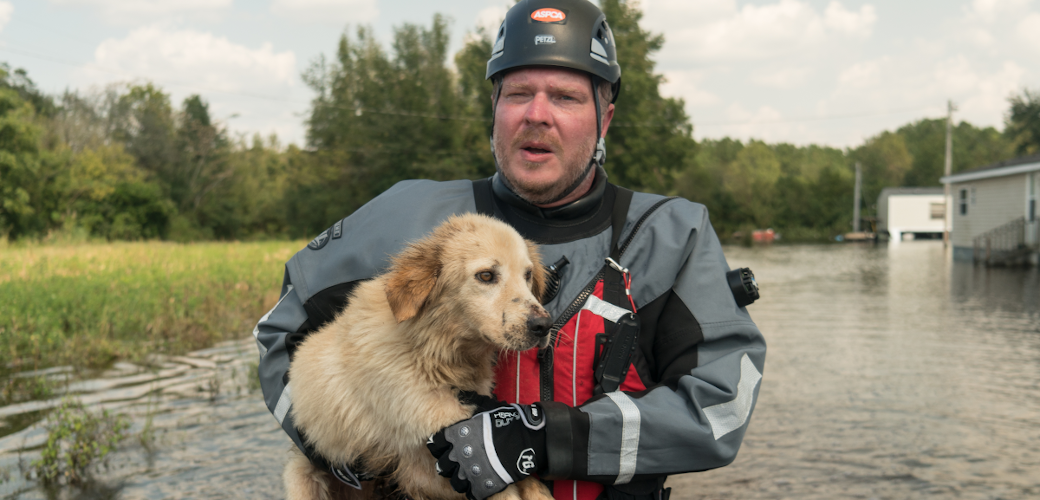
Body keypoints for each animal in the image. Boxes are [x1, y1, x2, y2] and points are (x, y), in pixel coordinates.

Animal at [284, 212, 557, 498]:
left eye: (527, 275)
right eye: (486, 275)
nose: (544, 325)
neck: (430, 349)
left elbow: (526, 481)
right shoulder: (426, 462)